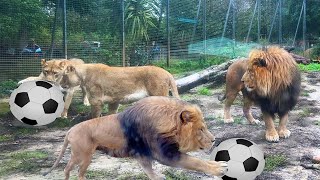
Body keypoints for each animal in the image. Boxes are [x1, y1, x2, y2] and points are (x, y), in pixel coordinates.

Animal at [43, 97, 228, 180]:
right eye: (201, 129)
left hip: (83, 155)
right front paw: (218, 168)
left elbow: (149, 170)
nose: (214, 140)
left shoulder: (143, 155)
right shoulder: (165, 154)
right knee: (70, 169)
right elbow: (195, 161)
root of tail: (70, 130)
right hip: (82, 154)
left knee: (72, 169)